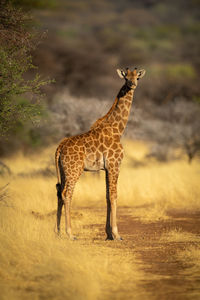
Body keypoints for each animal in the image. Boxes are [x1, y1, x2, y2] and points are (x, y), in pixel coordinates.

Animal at [55, 67, 146, 240]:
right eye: (126, 78)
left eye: (137, 77)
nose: (132, 85)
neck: (118, 130)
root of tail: (60, 147)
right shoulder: (115, 164)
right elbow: (114, 195)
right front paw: (117, 234)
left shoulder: (105, 168)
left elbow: (107, 197)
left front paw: (108, 234)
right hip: (74, 170)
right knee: (66, 194)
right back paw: (70, 233)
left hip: (63, 171)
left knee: (58, 192)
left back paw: (57, 232)